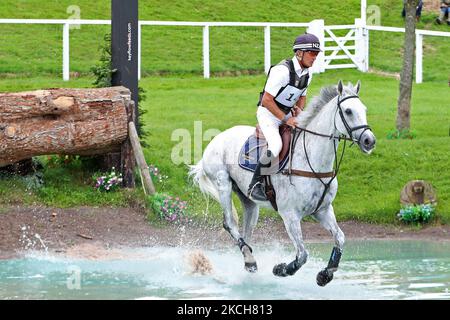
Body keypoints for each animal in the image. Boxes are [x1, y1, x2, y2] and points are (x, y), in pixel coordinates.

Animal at [190, 81, 376, 286]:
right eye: (348, 111)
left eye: (364, 109)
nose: (369, 141)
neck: (313, 161)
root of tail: (217, 138)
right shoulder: (290, 215)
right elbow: (302, 255)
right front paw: (281, 269)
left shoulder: (323, 210)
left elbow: (340, 238)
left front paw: (325, 274)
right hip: (223, 183)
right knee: (230, 223)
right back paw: (251, 261)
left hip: (249, 200)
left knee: (246, 232)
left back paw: (248, 261)